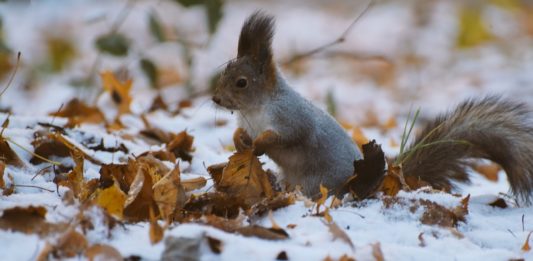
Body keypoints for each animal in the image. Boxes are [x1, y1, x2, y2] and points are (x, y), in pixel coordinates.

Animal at [210, 11, 532, 202]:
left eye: (241, 82)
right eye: (224, 71)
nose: (215, 99)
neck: (255, 110)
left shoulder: (291, 117)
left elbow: (287, 136)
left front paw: (260, 144)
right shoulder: (247, 122)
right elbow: (240, 135)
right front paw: (240, 142)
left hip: (319, 180)